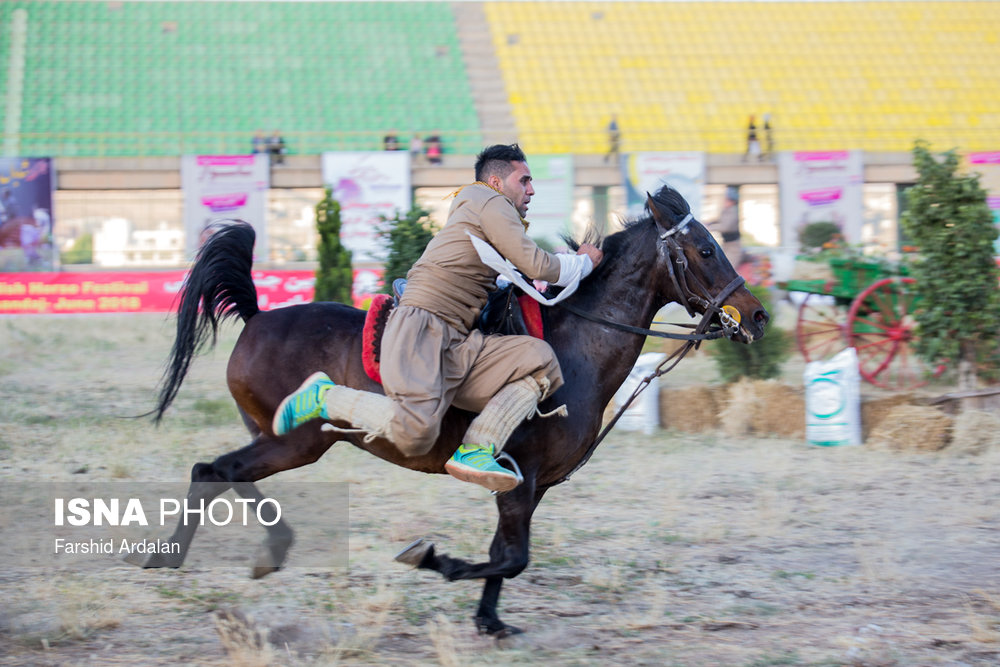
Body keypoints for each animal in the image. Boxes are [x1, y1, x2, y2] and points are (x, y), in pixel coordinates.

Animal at [139, 187, 764, 636]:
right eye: (706, 249)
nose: (755, 316)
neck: (575, 346)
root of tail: (258, 316)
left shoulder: (528, 486)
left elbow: (505, 555)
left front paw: (488, 619)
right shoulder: (521, 480)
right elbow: (511, 558)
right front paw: (433, 560)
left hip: (284, 440)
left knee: (223, 472)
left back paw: (267, 551)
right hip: (300, 440)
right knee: (214, 470)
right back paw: (178, 556)